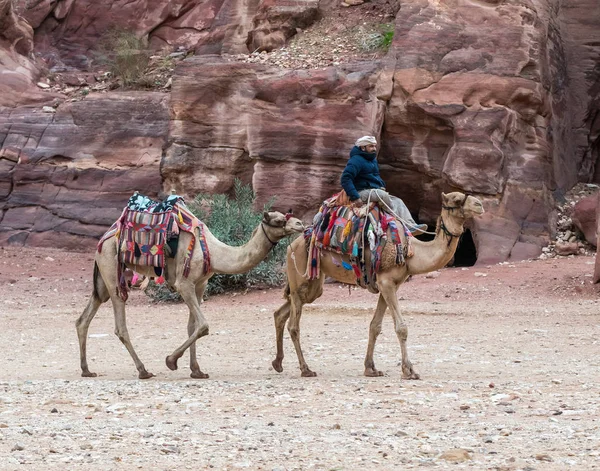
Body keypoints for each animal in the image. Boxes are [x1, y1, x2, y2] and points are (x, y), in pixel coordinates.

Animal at [76, 212, 304, 382]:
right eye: (278, 220)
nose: (300, 224)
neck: (214, 252)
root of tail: (104, 238)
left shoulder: (200, 284)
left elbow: (192, 326)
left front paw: (197, 370)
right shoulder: (184, 284)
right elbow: (203, 325)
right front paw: (171, 361)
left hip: (103, 280)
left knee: (83, 319)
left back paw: (87, 370)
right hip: (111, 269)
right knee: (120, 325)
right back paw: (143, 370)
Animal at [270, 192, 482, 380]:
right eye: (456, 199)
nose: (480, 204)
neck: (411, 252)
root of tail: (291, 245)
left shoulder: (388, 285)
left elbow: (375, 326)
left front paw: (370, 368)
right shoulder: (386, 282)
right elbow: (401, 328)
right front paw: (409, 371)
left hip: (313, 284)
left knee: (282, 312)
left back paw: (278, 363)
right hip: (300, 274)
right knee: (294, 325)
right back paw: (305, 369)